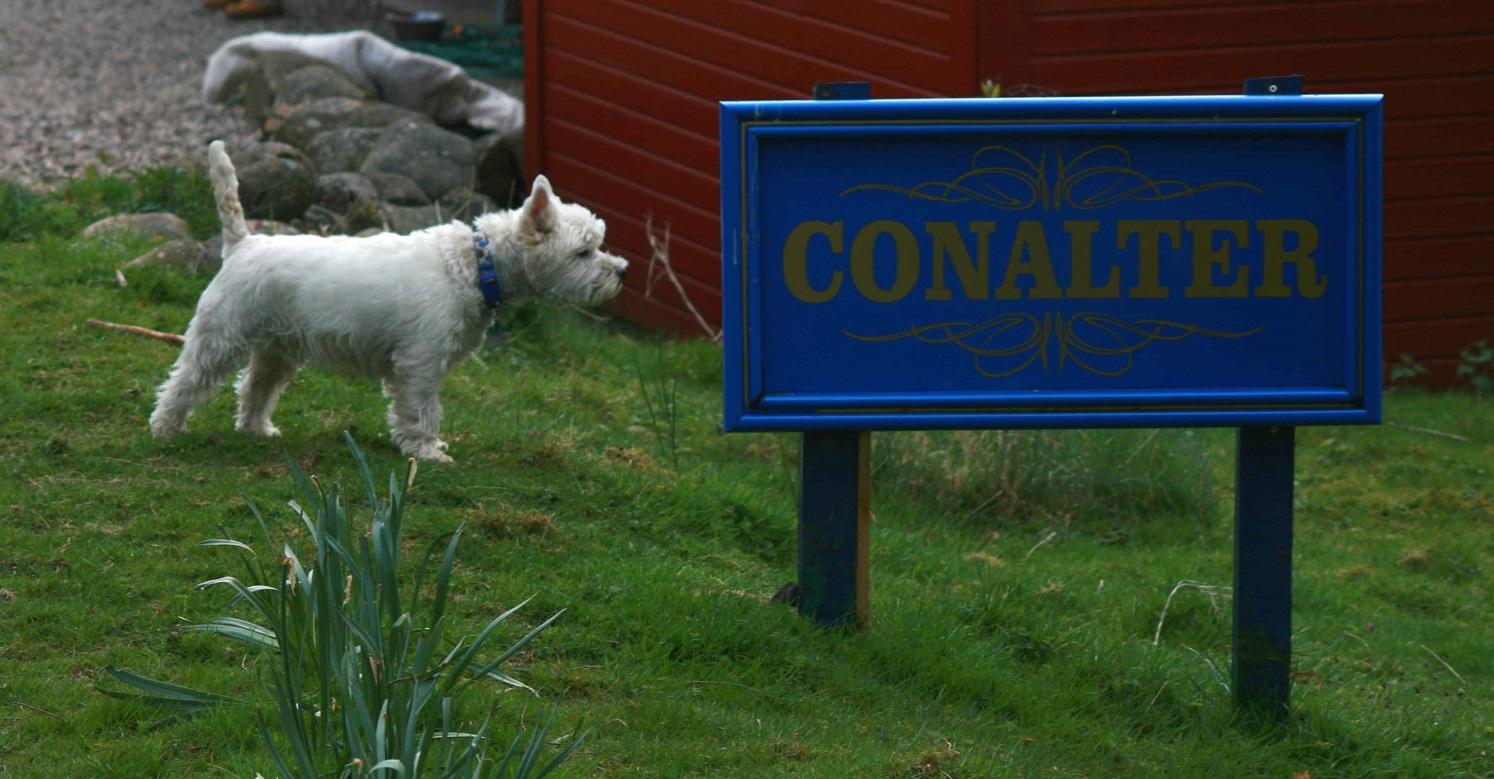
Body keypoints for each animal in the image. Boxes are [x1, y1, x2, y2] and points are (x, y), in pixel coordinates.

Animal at [156, 140, 630, 460]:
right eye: (583, 252)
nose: (621, 271)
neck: (477, 267)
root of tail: (242, 243)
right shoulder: (420, 361)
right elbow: (421, 410)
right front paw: (426, 451)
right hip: (221, 337)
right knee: (185, 381)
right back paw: (166, 427)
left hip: (278, 350)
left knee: (254, 389)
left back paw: (257, 430)